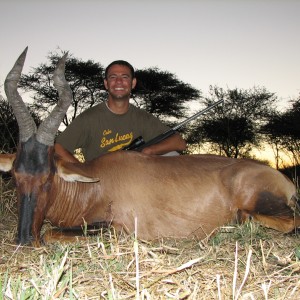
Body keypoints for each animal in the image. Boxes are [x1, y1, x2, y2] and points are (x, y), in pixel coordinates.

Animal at [0, 48, 300, 246]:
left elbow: (51, 232)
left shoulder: (116, 228)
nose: (24, 240)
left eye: (48, 178)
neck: (94, 184)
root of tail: (285, 181)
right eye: (14, 175)